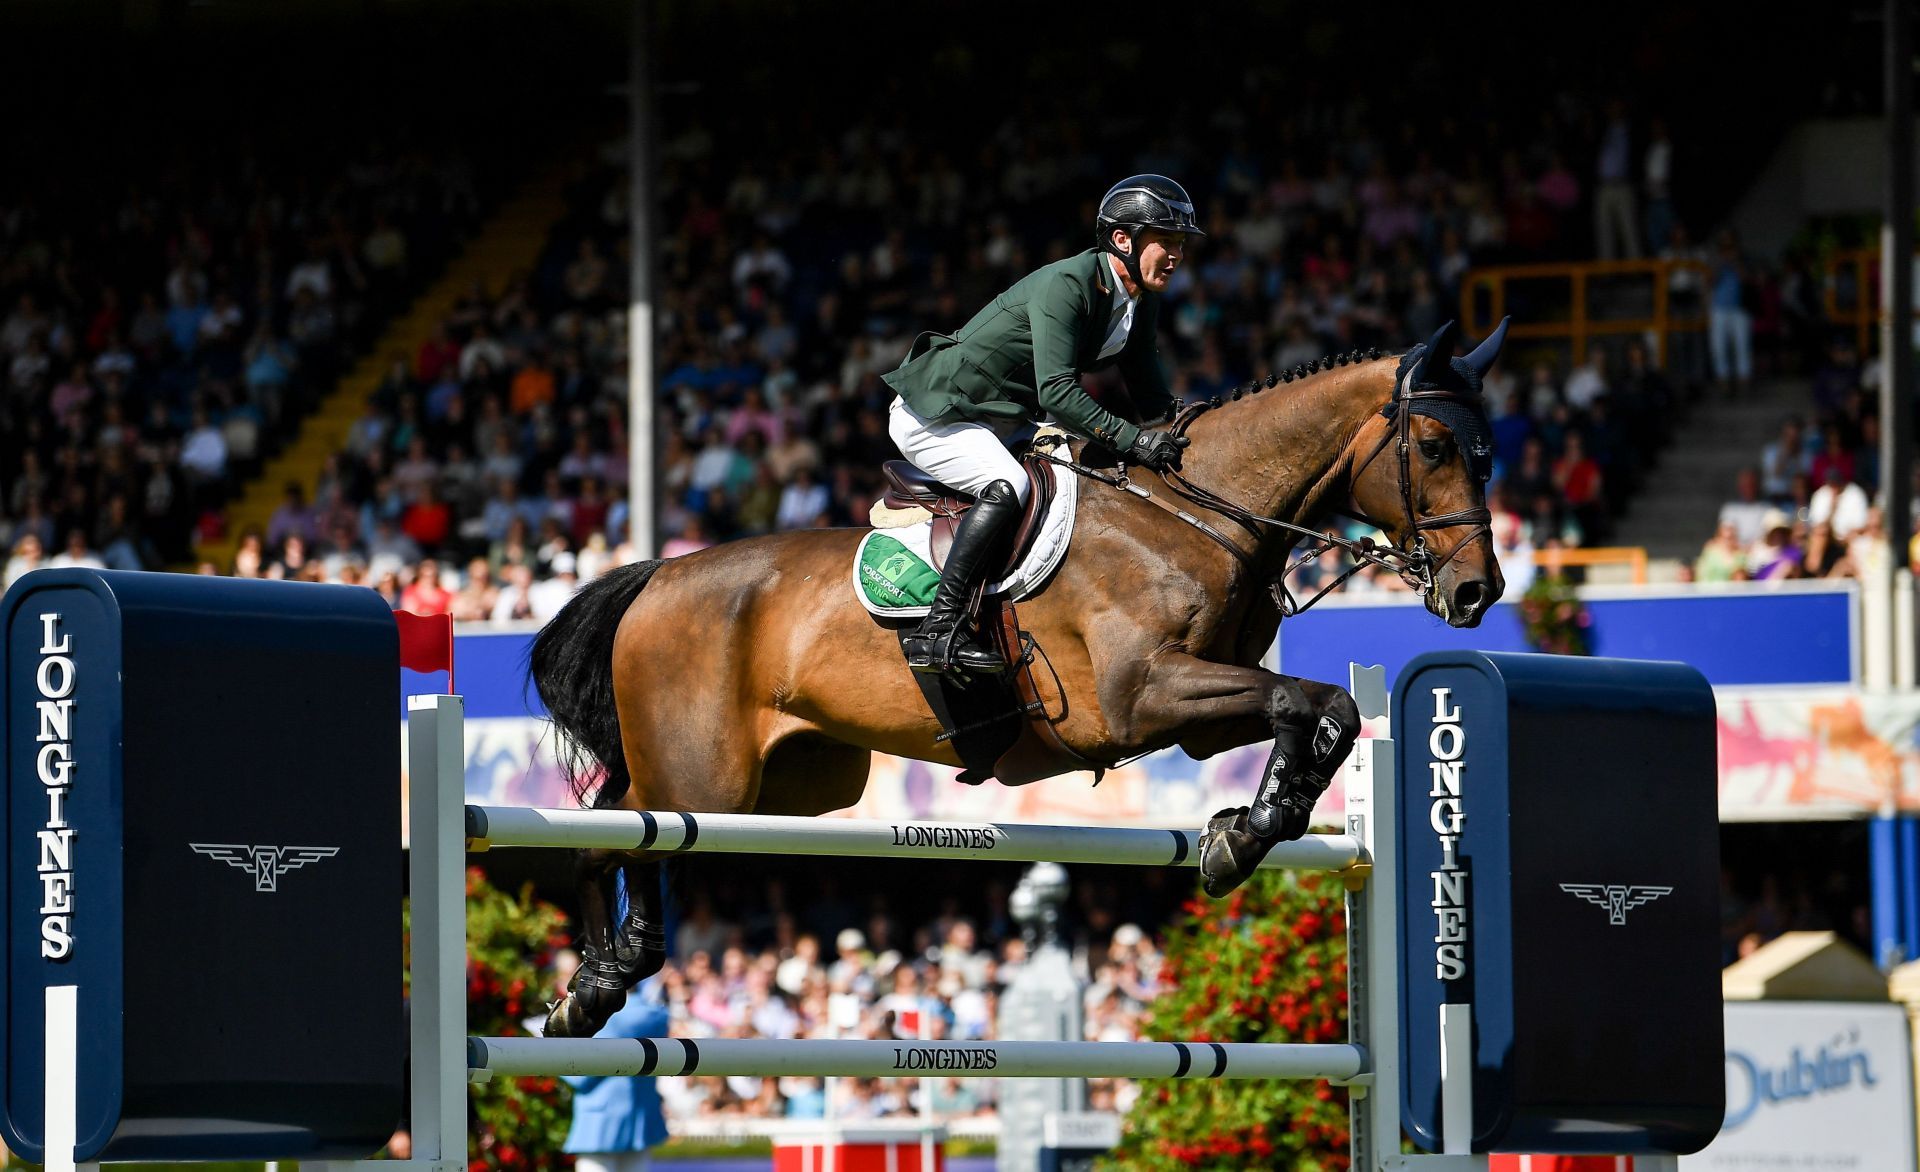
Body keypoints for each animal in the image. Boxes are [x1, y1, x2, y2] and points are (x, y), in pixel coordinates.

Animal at [533, 317, 1505, 1029]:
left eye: (1489, 448)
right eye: (1434, 446)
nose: (1477, 592)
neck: (1195, 516)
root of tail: (657, 575)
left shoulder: (1197, 713)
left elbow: (1320, 706)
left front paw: (1248, 826)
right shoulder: (1140, 696)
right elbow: (1301, 702)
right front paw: (1247, 834)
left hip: (790, 788)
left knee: (623, 825)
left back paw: (601, 977)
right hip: (707, 777)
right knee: (618, 834)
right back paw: (603, 982)